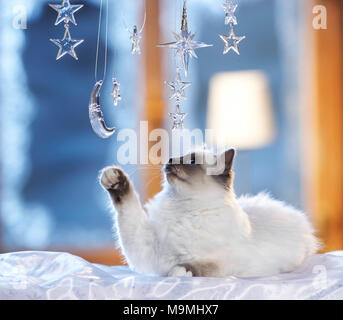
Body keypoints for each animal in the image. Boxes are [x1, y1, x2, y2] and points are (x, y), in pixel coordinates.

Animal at [101, 149, 322, 276]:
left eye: (191, 162)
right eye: (176, 156)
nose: (170, 159)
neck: (183, 210)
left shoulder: (227, 264)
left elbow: (200, 266)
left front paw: (179, 270)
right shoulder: (148, 253)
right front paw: (113, 179)